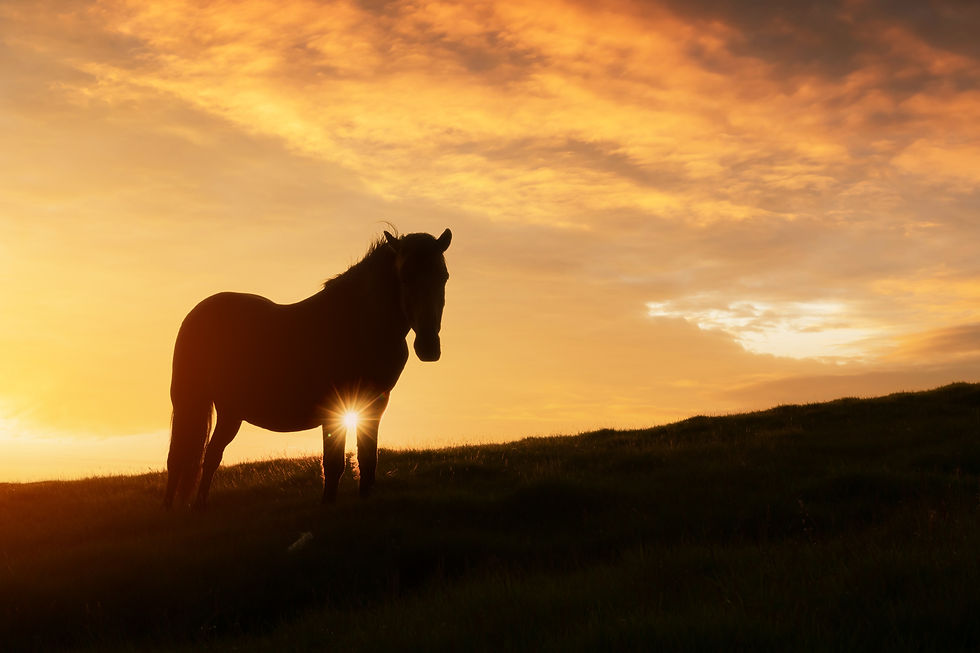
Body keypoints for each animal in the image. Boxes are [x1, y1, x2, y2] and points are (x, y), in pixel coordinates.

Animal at [163, 228, 452, 509]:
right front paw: (328, 504)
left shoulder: (375, 403)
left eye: (444, 277)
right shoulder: (335, 405)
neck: (358, 323)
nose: (428, 347)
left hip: (230, 411)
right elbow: (333, 462)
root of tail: (196, 314)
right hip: (192, 403)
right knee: (179, 457)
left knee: (211, 455)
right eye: (405, 276)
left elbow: (368, 459)